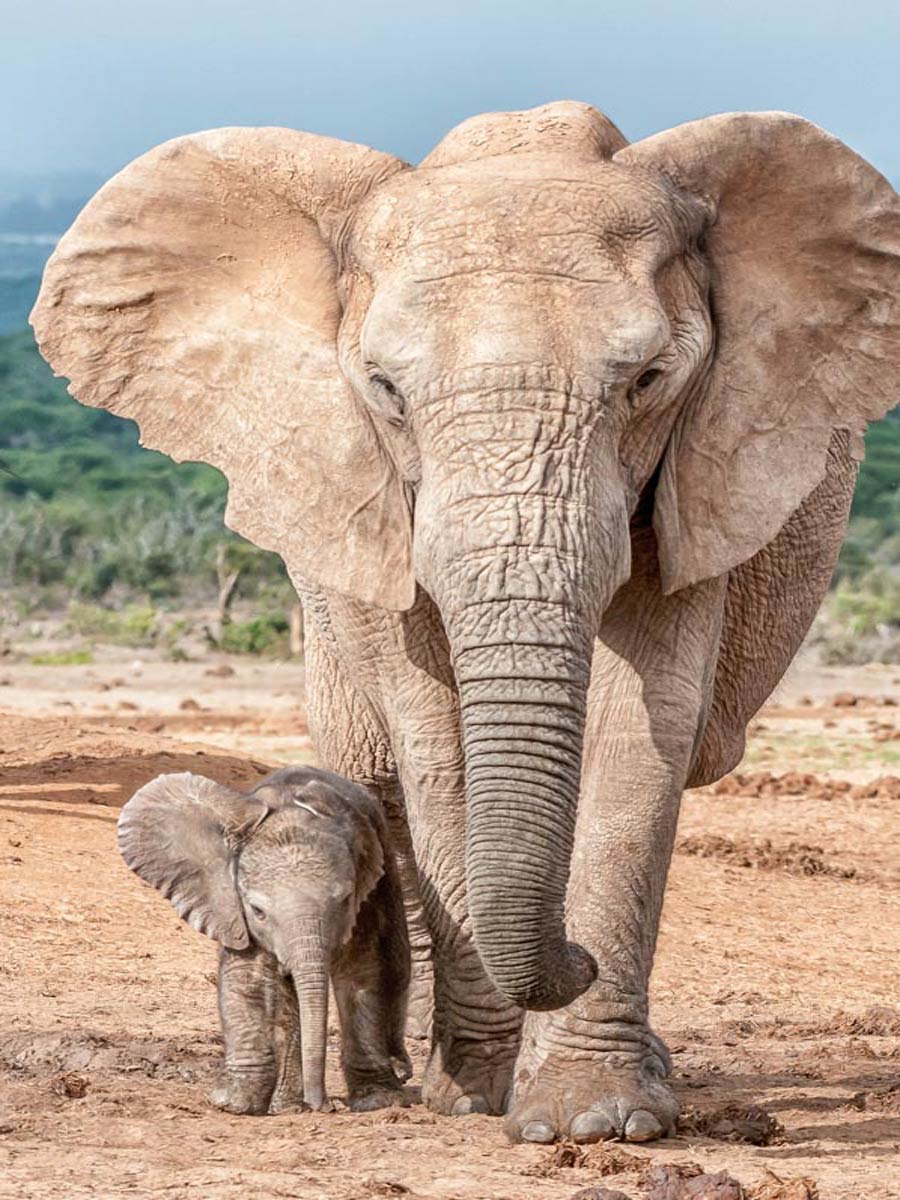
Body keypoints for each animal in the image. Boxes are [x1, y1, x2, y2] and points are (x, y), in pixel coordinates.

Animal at [117, 768, 412, 1113]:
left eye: (344, 901)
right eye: (258, 911)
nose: (322, 1106)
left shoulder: (372, 886)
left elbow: (365, 967)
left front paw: (380, 1101)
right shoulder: (232, 906)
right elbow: (250, 978)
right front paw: (234, 1103)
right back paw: (287, 1106)